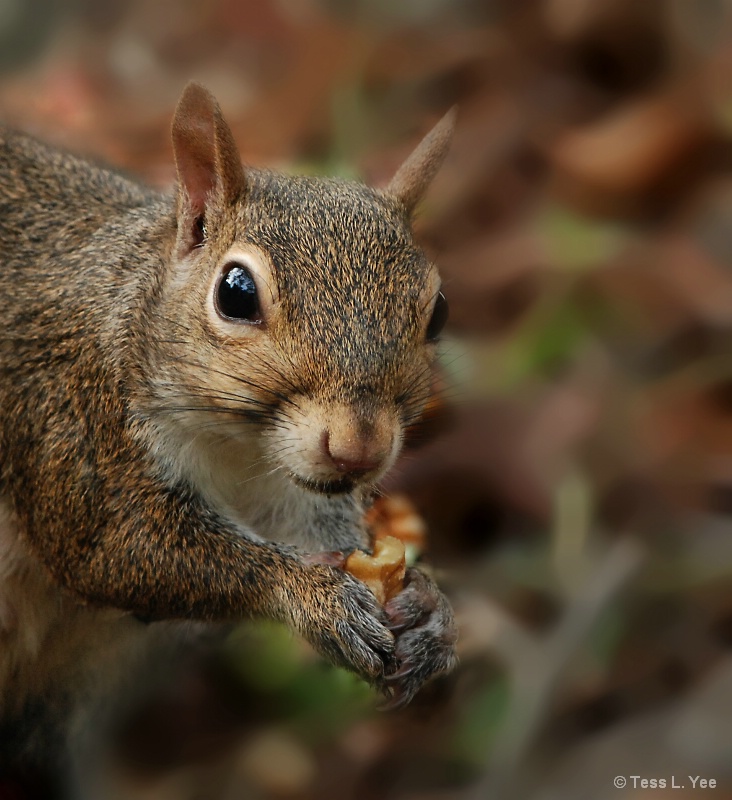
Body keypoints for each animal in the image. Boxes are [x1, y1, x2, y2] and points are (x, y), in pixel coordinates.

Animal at [0, 84, 458, 792]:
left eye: (437, 311)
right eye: (236, 293)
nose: (358, 450)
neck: (237, 449)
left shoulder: (295, 492)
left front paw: (428, 613)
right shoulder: (72, 418)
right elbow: (118, 548)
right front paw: (314, 599)